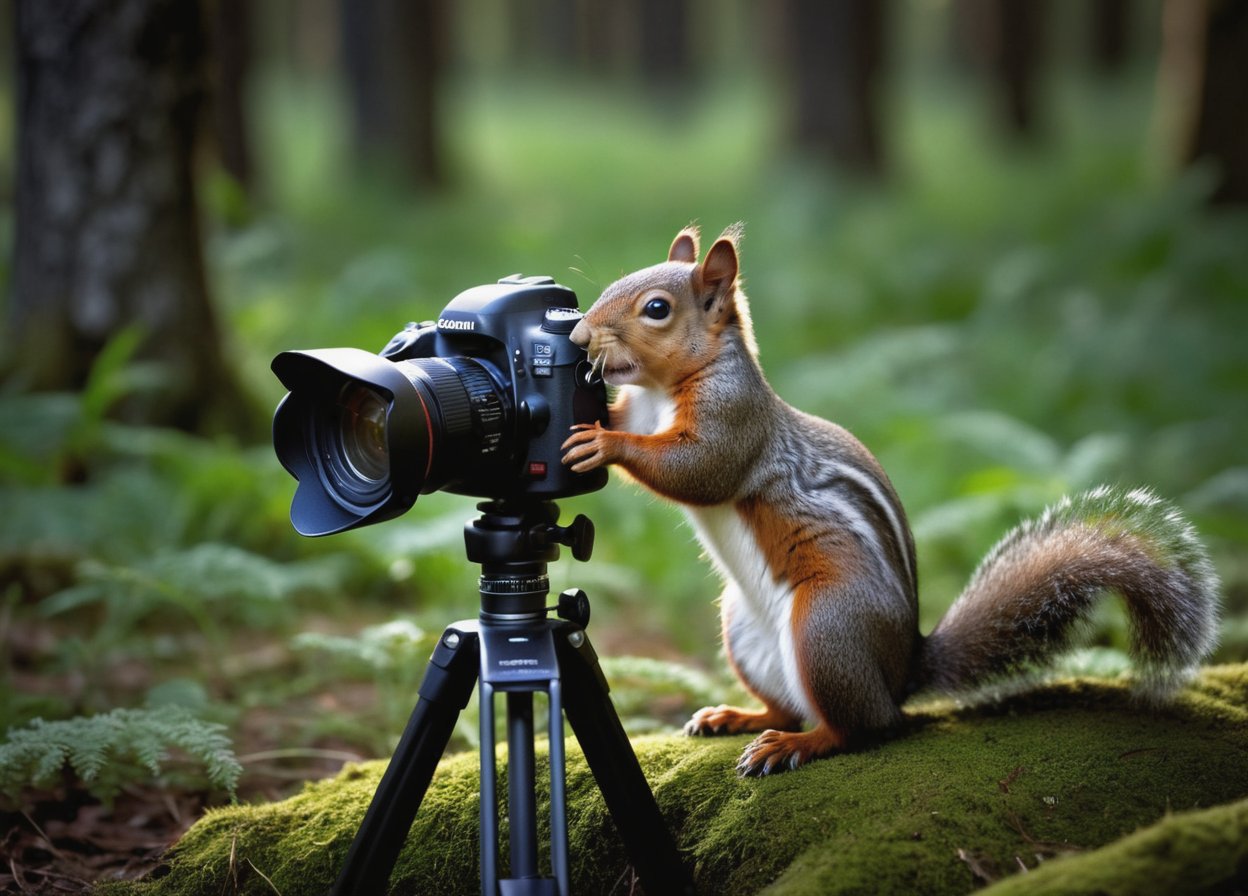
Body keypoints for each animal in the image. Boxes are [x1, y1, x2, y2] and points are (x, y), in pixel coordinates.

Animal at [561, 224, 1223, 778]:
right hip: (743, 631)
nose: (579, 335)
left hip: (828, 627)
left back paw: (799, 744)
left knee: (863, 726)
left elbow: (700, 470)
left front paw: (606, 442)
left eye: (657, 309)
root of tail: (903, 671)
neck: (661, 392)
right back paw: (739, 718)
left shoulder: (735, 419)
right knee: (790, 706)